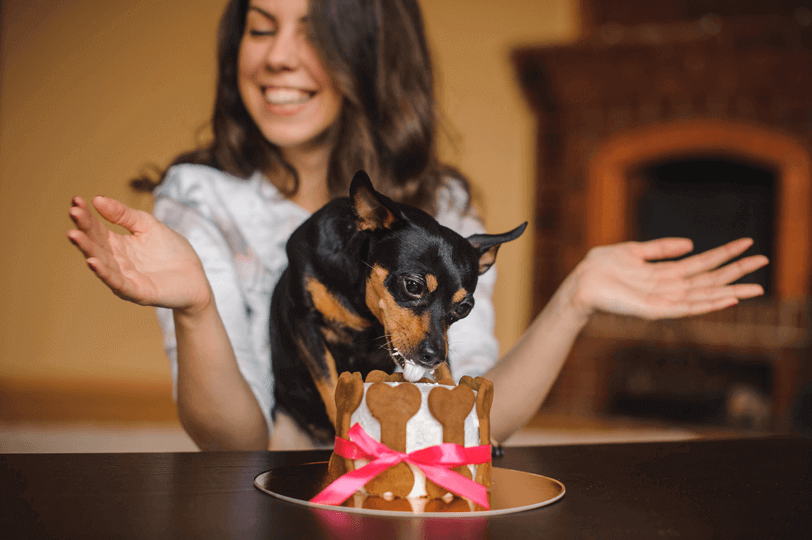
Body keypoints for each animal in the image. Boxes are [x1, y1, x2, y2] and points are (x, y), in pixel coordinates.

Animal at [272, 171, 528, 446]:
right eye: (413, 286)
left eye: (464, 308)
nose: (434, 355)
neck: (363, 305)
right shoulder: (304, 321)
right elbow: (329, 383)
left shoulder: (441, 342)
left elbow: (447, 374)